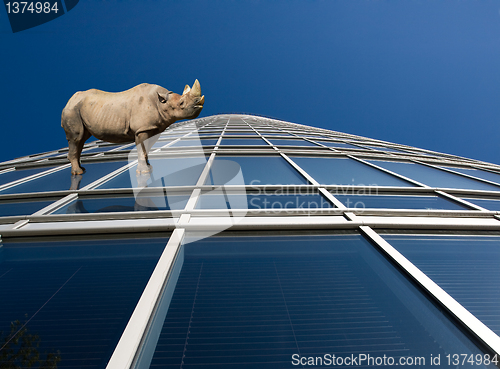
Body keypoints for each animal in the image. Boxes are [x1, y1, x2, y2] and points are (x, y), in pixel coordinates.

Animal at [61, 79, 205, 174]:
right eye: (181, 103)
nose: (199, 104)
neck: (161, 102)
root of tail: (69, 101)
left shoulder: (152, 127)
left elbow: (146, 150)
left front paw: (148, 168)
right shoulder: (142, 129)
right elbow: (142, 149)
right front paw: (144, 172)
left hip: (79, 108)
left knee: (81, 139)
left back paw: (81, 169)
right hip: (72, 110)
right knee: (77, 138)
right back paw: (78, 173)